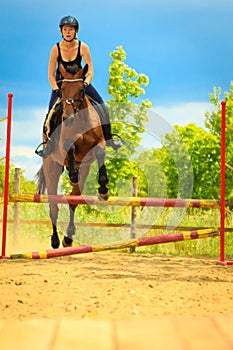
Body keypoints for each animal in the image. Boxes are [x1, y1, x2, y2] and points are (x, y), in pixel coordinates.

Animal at [36, 63, 109, 249]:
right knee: (54, 206)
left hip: (85, 168)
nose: (68, 118)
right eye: (62, 90)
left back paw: (68, 238)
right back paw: (55, 240)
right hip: (51, 168)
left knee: (73, 200)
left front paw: (104, 190)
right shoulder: (66, 145)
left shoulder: (99, 143)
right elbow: (70, 149)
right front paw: (73, 174)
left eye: (81, 89)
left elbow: (100, 154)